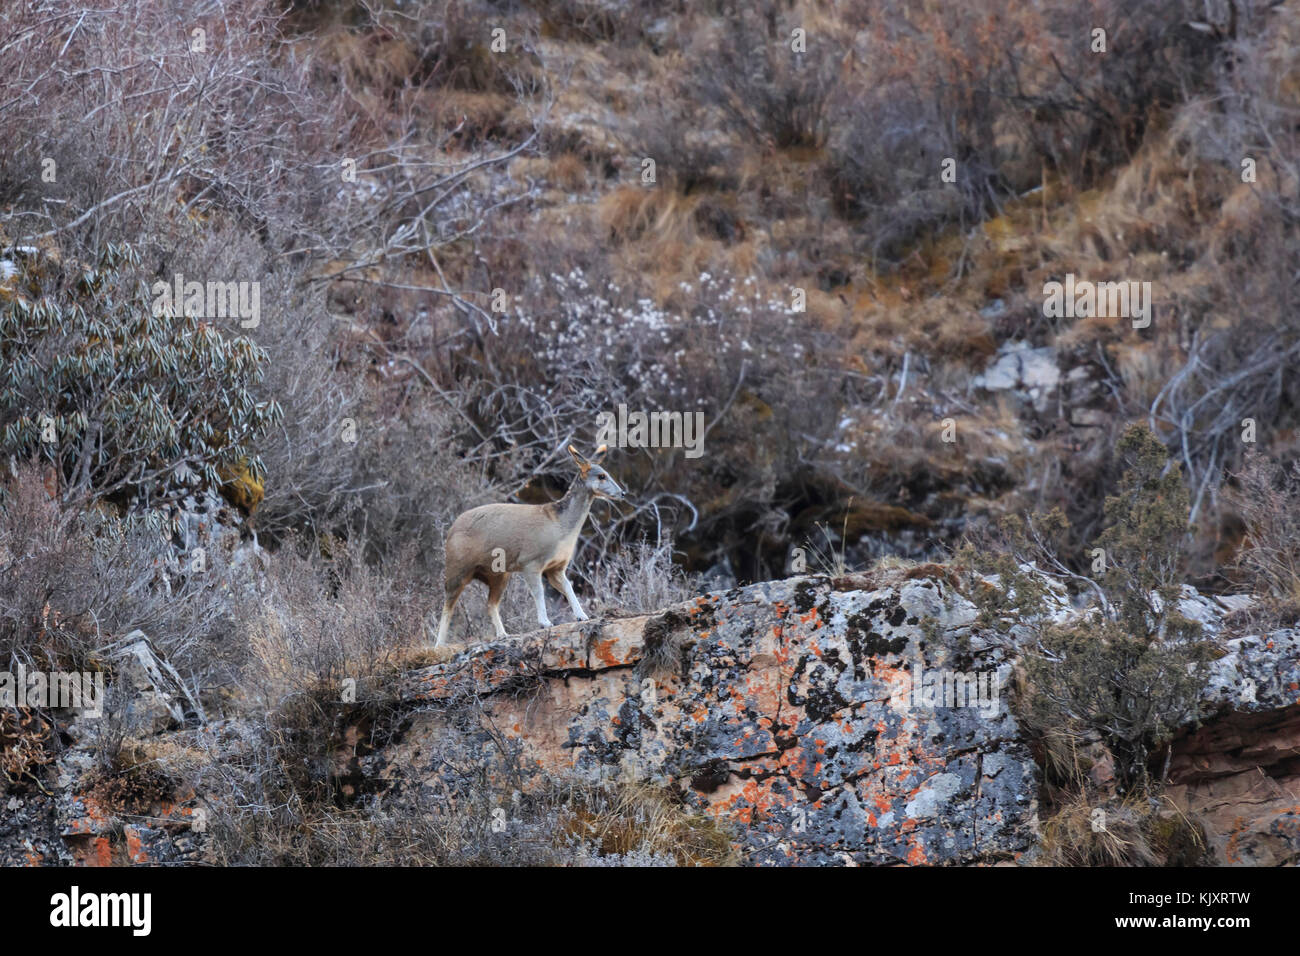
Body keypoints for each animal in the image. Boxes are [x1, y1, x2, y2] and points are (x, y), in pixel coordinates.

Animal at [431, 444, 624, 647]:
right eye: (601, 476)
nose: (622, 493)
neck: (561, 526)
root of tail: (450, 530)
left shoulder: (556, 567)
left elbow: (568, 587)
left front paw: (582, 616)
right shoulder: (531, 561)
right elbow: (538, 592)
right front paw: (545, 622)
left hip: (499, 574)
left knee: (490, 603)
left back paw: (503, 634)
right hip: (457, 567)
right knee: (448, 604)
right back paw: (439, 645)